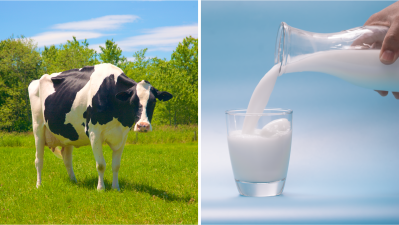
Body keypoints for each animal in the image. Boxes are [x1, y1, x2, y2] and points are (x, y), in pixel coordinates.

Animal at [28, 63, 172, 190]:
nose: (143, 126)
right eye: (132, 101)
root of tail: (36, 80)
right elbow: (101, 165)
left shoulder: (122, 135)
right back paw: (38, 185)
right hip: (38, 127)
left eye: (153, 102)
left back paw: (74, 181)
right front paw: (101, 188)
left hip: (68, 132)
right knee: (38, 160)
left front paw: (115, 188)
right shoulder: (94, 133)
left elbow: (116, 165)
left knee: (67, 159)